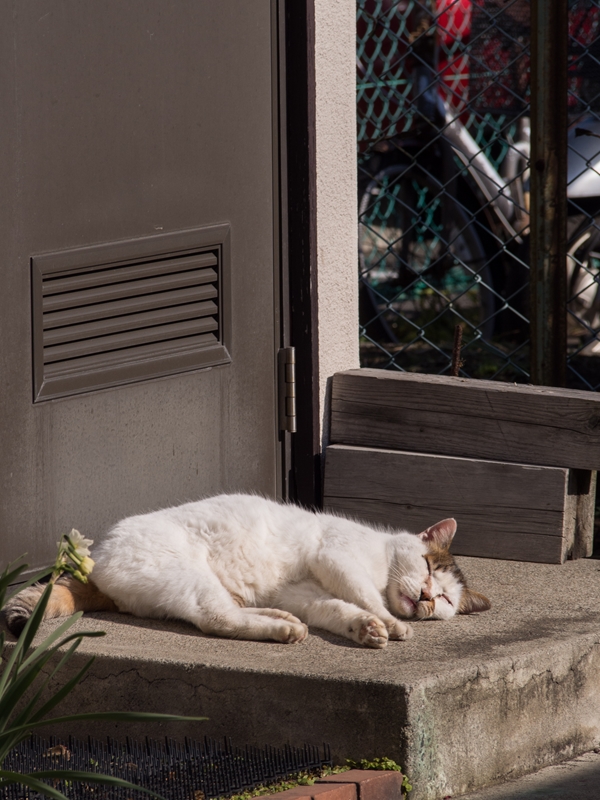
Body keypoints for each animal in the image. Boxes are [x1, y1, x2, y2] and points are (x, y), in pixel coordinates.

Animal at [7, 494, 490, 648]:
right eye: (426, 567)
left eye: (444, 599)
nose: (425, 597)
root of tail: (97, 560)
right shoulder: (336, 557)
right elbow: (366, 597)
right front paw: (389, 622)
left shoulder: (309, 594)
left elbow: (339, 609)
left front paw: (365, 628)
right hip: (190, 578)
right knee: (216, 619)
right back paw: (282, 629)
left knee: (233, 613)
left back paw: (282, 619)